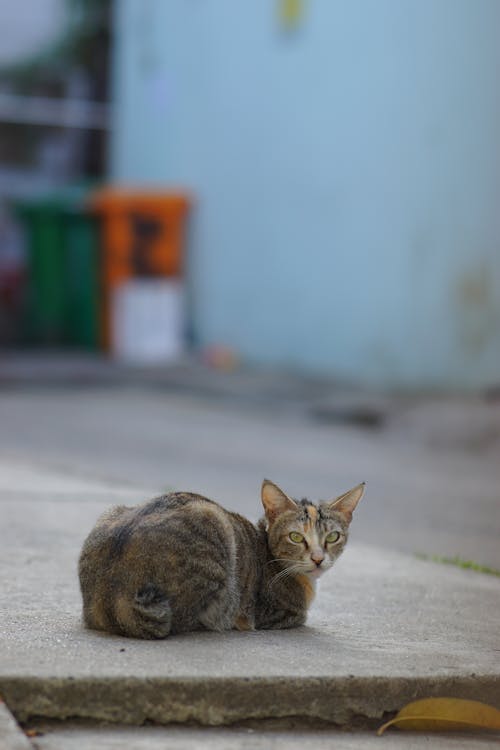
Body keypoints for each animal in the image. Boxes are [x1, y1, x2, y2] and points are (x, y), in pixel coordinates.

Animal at [80, 482, 366, 640]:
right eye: (296, 537)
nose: (318, 558)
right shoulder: (280, 614)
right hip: (215, 530)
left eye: (333, 536)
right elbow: (298, 616)